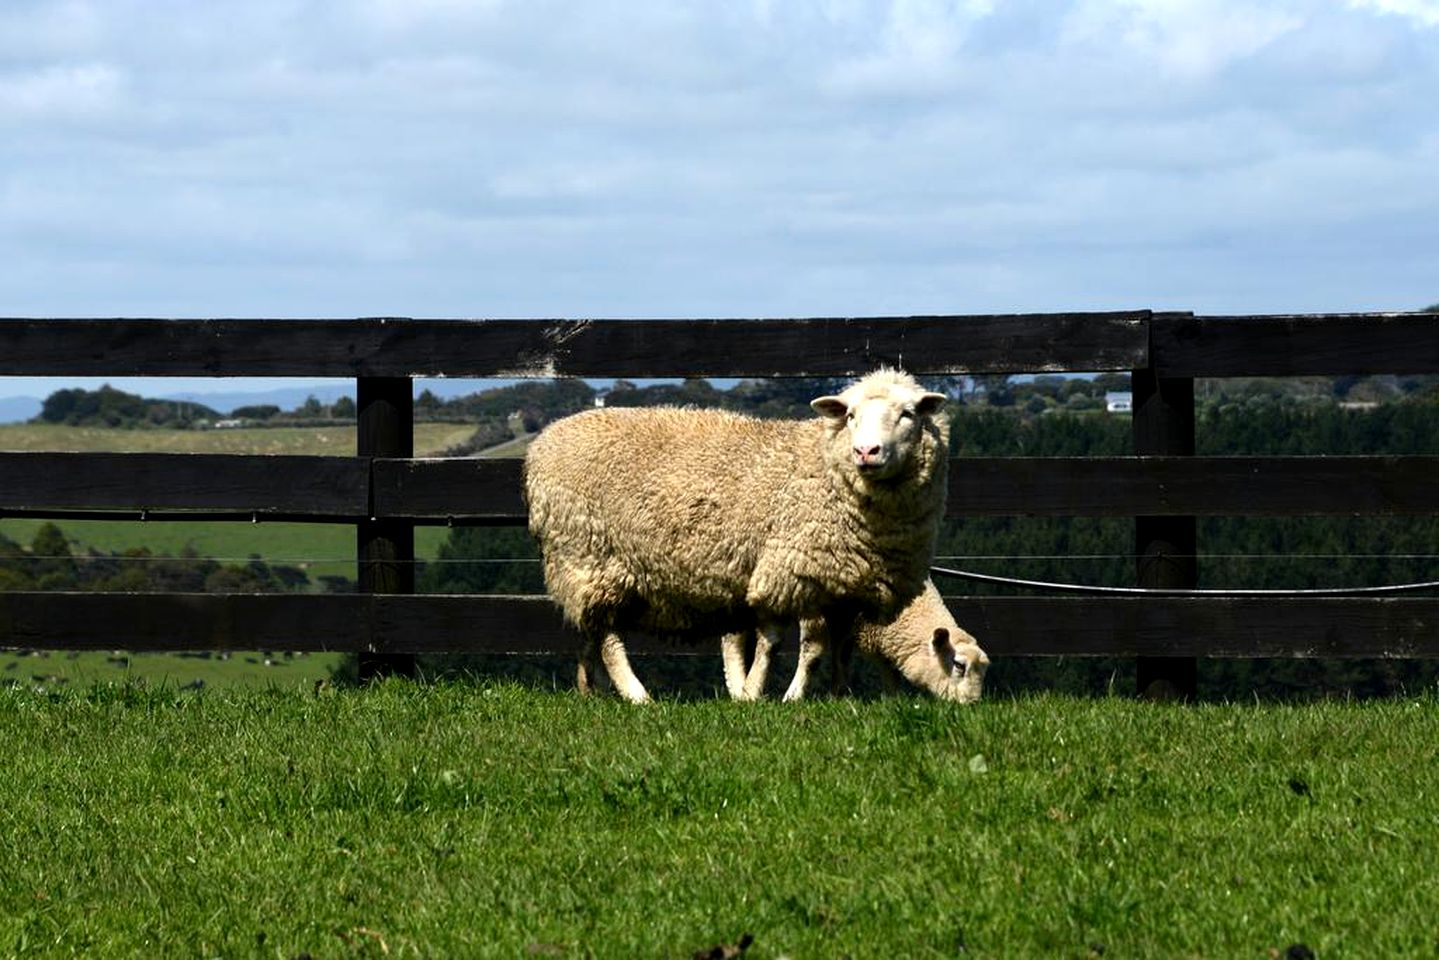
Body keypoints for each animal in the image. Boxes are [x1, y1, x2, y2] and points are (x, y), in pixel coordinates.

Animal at [523, 364, 949, 702]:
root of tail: (541, 445)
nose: (866, 452)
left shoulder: (846, 588)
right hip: (591, 557)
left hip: (585, 569)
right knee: (610, 639)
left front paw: (841, 697)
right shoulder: (783, 571)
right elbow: (777, 643)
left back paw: (590, 690)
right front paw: (757, 694)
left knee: (590, 634)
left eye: (908, 414)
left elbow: (840, 647)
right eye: (851, 416)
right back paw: (637, 696)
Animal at [719, 578, 990, 705]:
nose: (973, 704)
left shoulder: (850, 622)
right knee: (733, 639)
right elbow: (814, 653)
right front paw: (793, 697)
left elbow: (846, 658)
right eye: (959, 665)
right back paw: (741, 690)